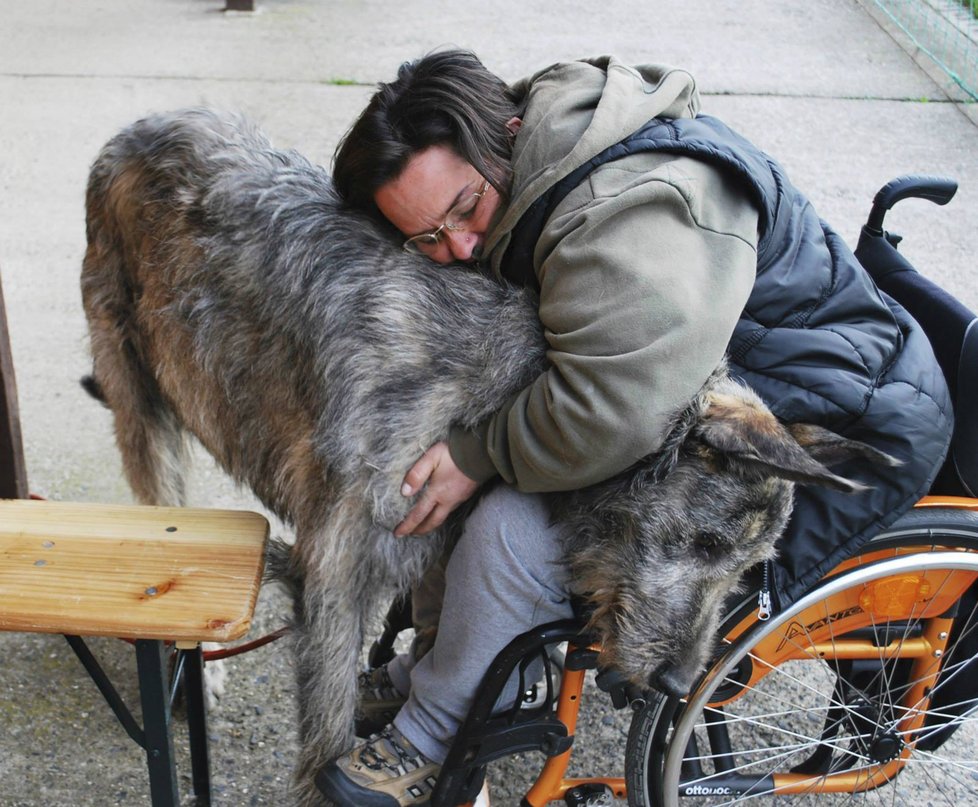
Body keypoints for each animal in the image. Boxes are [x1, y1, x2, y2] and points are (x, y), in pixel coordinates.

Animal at [80, 110, 888, 804]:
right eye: (709, 542)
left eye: (750, 567)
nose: (677, 685)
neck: (520, 386)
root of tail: (140, 126)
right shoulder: (342, 568)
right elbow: (327, 722)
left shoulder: (433, 534)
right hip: (137, 384)